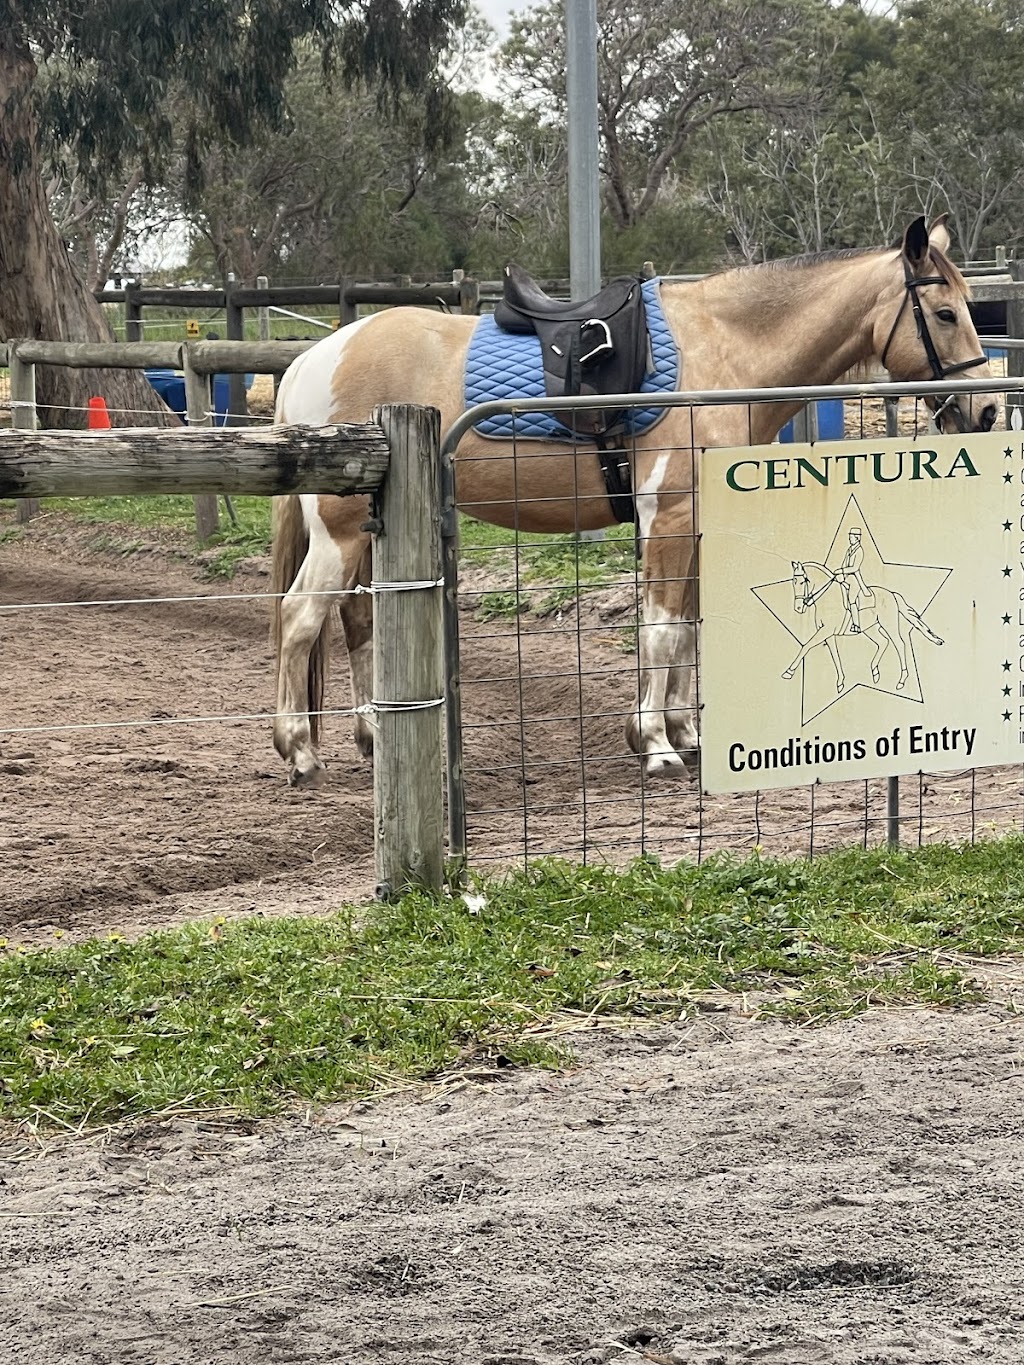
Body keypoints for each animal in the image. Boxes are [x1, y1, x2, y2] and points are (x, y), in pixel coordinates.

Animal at [786, 559, 944, 698]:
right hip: (870, 629)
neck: (828, 597)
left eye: (803, 581)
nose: (798, 608)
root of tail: (892, 594)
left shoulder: (826, 631)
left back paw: (901, 681)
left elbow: (806, 646)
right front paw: (840, 683)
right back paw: (875, 672)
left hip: (889, 625)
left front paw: (788, 672)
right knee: (883, 642)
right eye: (793, 581)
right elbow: (835, 656)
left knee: (899, 644)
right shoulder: (829, 634)